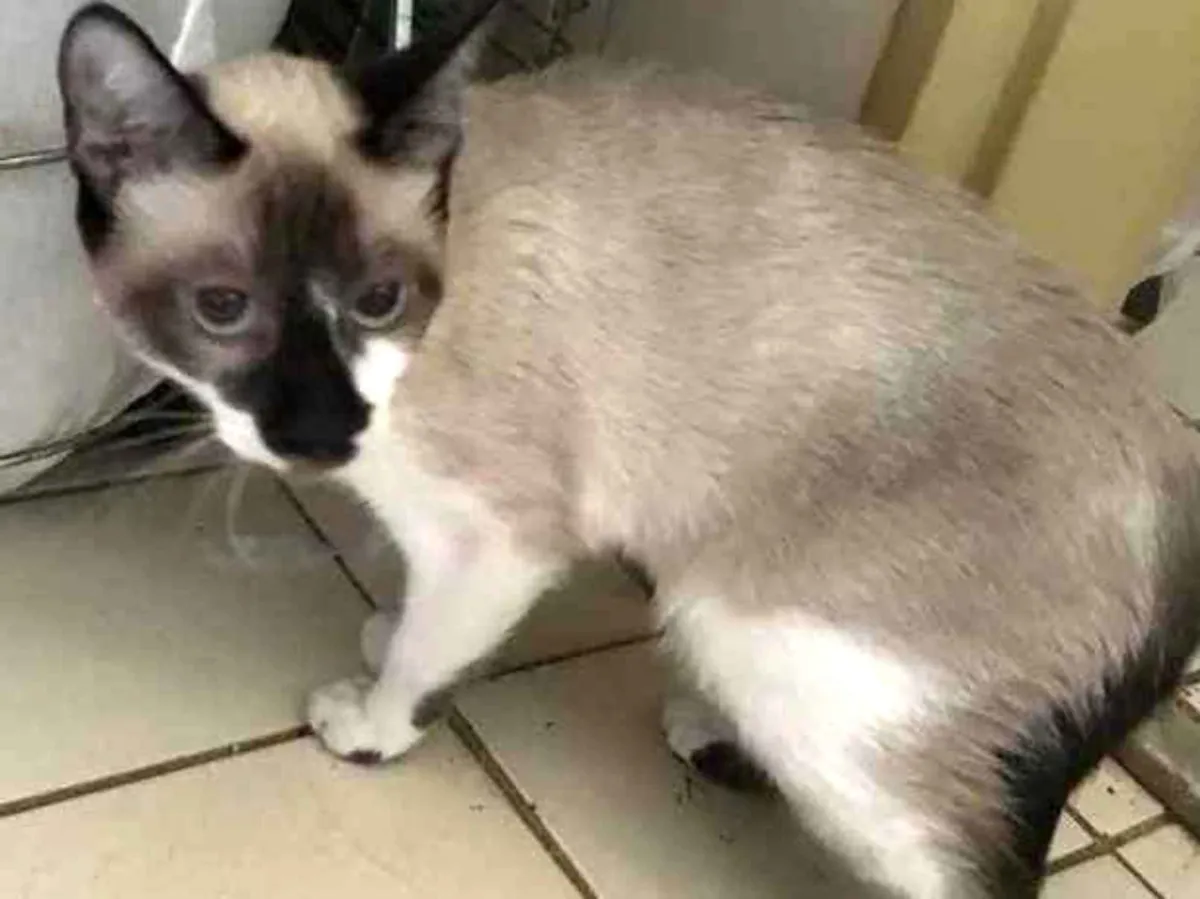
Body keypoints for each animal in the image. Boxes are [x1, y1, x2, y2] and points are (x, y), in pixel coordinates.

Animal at [57, 3, 1200, 896]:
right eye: (222, 309)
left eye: (378, 299)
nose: (321, 433)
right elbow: (413, 620)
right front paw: (384, 631)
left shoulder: (499, 541)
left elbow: (428, 660)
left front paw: (372, 722)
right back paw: (709, 733)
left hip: (774, 651)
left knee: (975, 867)